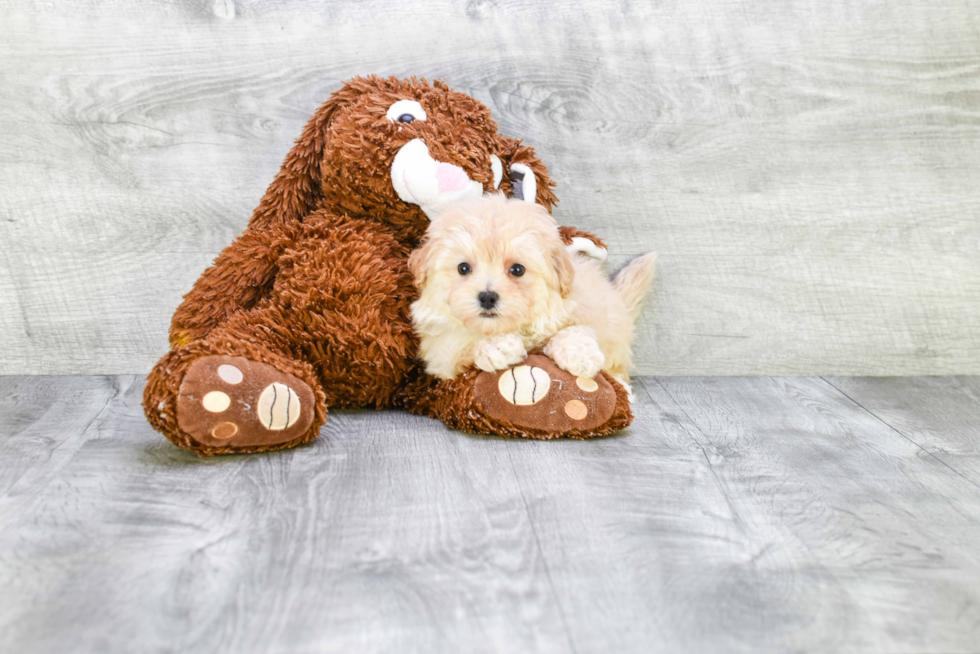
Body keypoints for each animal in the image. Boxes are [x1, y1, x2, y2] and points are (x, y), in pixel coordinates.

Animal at [408, 192, 660, 392]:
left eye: (517, 270)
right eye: (463, 268)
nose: (487, 297)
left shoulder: (575, 311)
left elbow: (575, 331)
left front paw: (581, 356)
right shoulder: (439, 354)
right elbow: (459, 342)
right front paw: (497, 347)